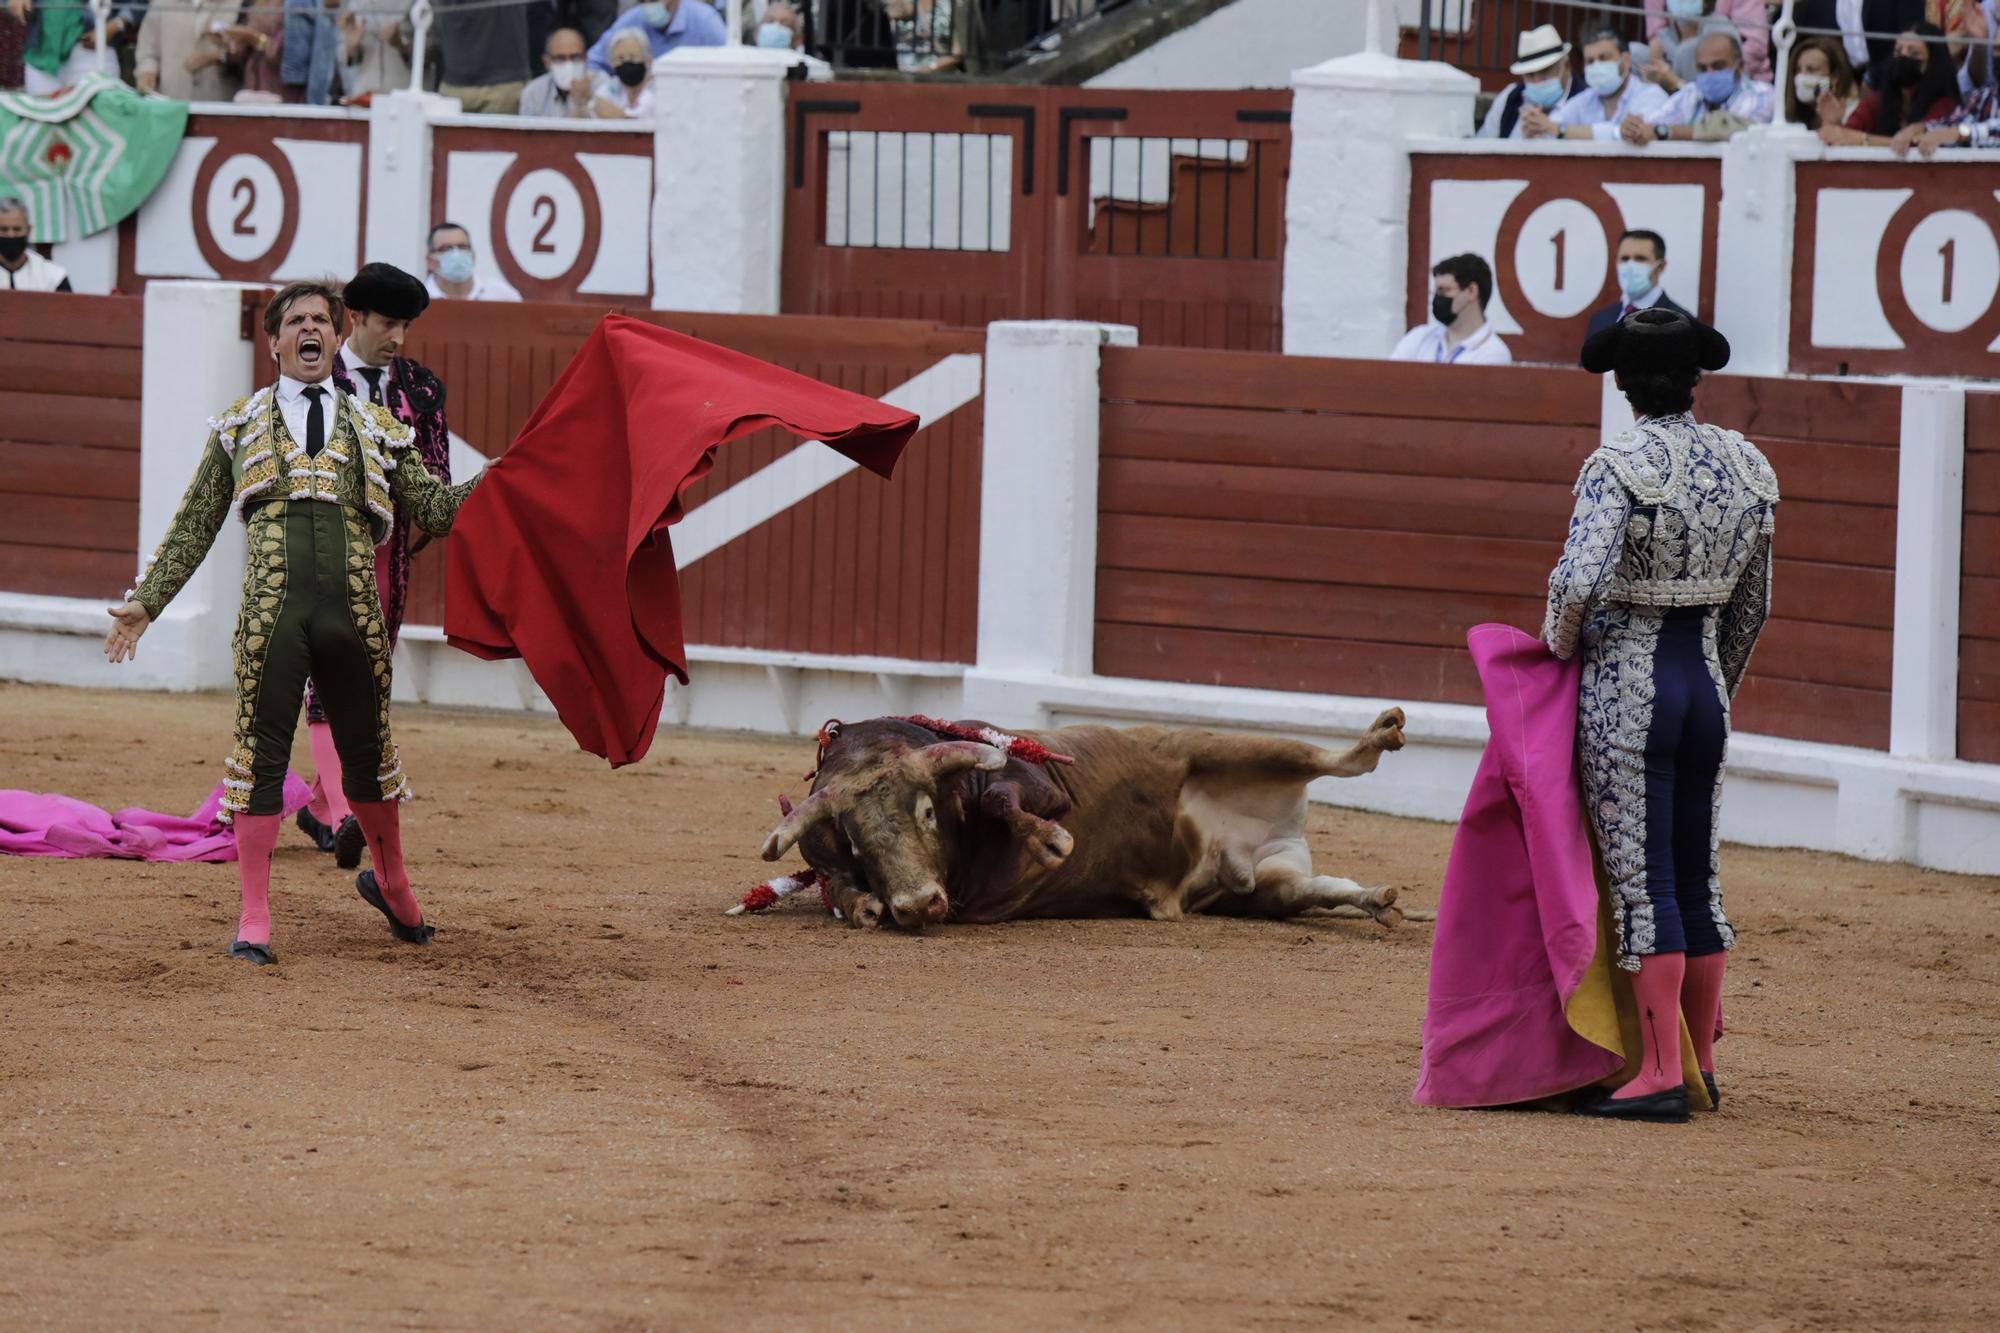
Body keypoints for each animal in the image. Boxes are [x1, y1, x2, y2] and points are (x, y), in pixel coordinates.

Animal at [756, 712, 1416, 928]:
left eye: (925, 812)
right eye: (856, 843)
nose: (919, 905)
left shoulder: (1036, 782)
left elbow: (1004, 800)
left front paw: (1052, 840)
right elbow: (841, 886)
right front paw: (864, 905)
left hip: (1214, 745)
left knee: (1328, 760)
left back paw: (1376, 737)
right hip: (1259, 890)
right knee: (1309, 888)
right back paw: (1378, 901)